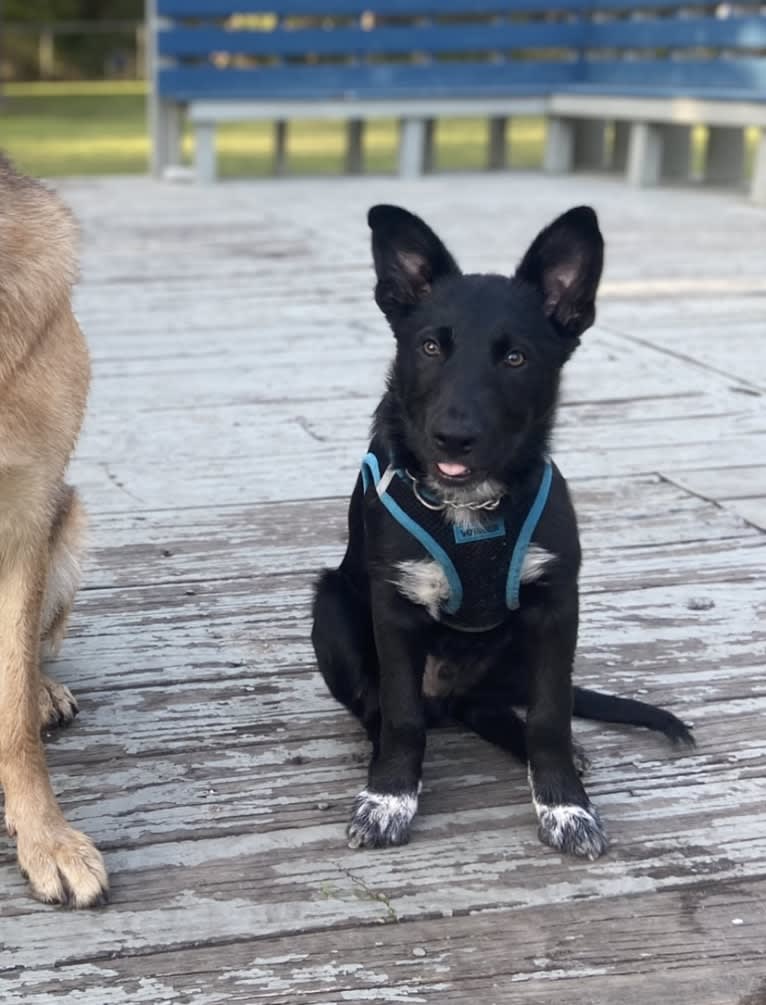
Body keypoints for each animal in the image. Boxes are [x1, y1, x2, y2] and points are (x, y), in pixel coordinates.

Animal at [309, 202, 691, 856]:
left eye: (516, 359)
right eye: (430, 347)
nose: (453, 438)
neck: (470, 510)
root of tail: (449, 695)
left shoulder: (556, 608)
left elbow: (550, 719)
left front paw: (565, 806)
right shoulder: (395, 606)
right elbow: (401, 716)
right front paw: (389, 798)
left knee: (491, 710)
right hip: (330, 604)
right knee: (383, 708)